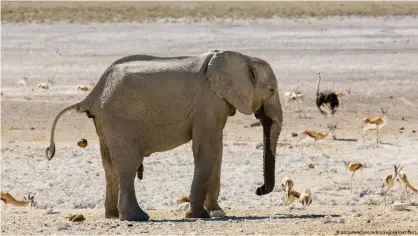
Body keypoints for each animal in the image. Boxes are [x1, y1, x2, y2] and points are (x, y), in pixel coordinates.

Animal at [45, 49, 284, 221]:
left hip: (104, 123)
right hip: (119, 122)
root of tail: (93, 94)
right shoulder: (208, 104)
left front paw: (217, 213)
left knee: (109, 167)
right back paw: (137, 217)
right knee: (128, 166)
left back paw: (112, 216)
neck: (242, 57)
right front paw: (197, 215)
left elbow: (217, 153)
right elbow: (207, 150)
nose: (259, 189)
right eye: (271, 90)